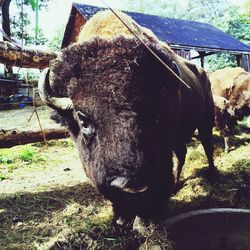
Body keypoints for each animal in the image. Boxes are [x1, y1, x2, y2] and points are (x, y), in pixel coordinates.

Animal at [38, 9, 216, 225]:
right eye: (83, 120)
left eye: (157, 114)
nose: (132, 183)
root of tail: (202, 72)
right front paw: (122, 219)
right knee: (182, 153)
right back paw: (176, 185)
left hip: (206, 120)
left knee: (206, 145)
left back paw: (212, 175)